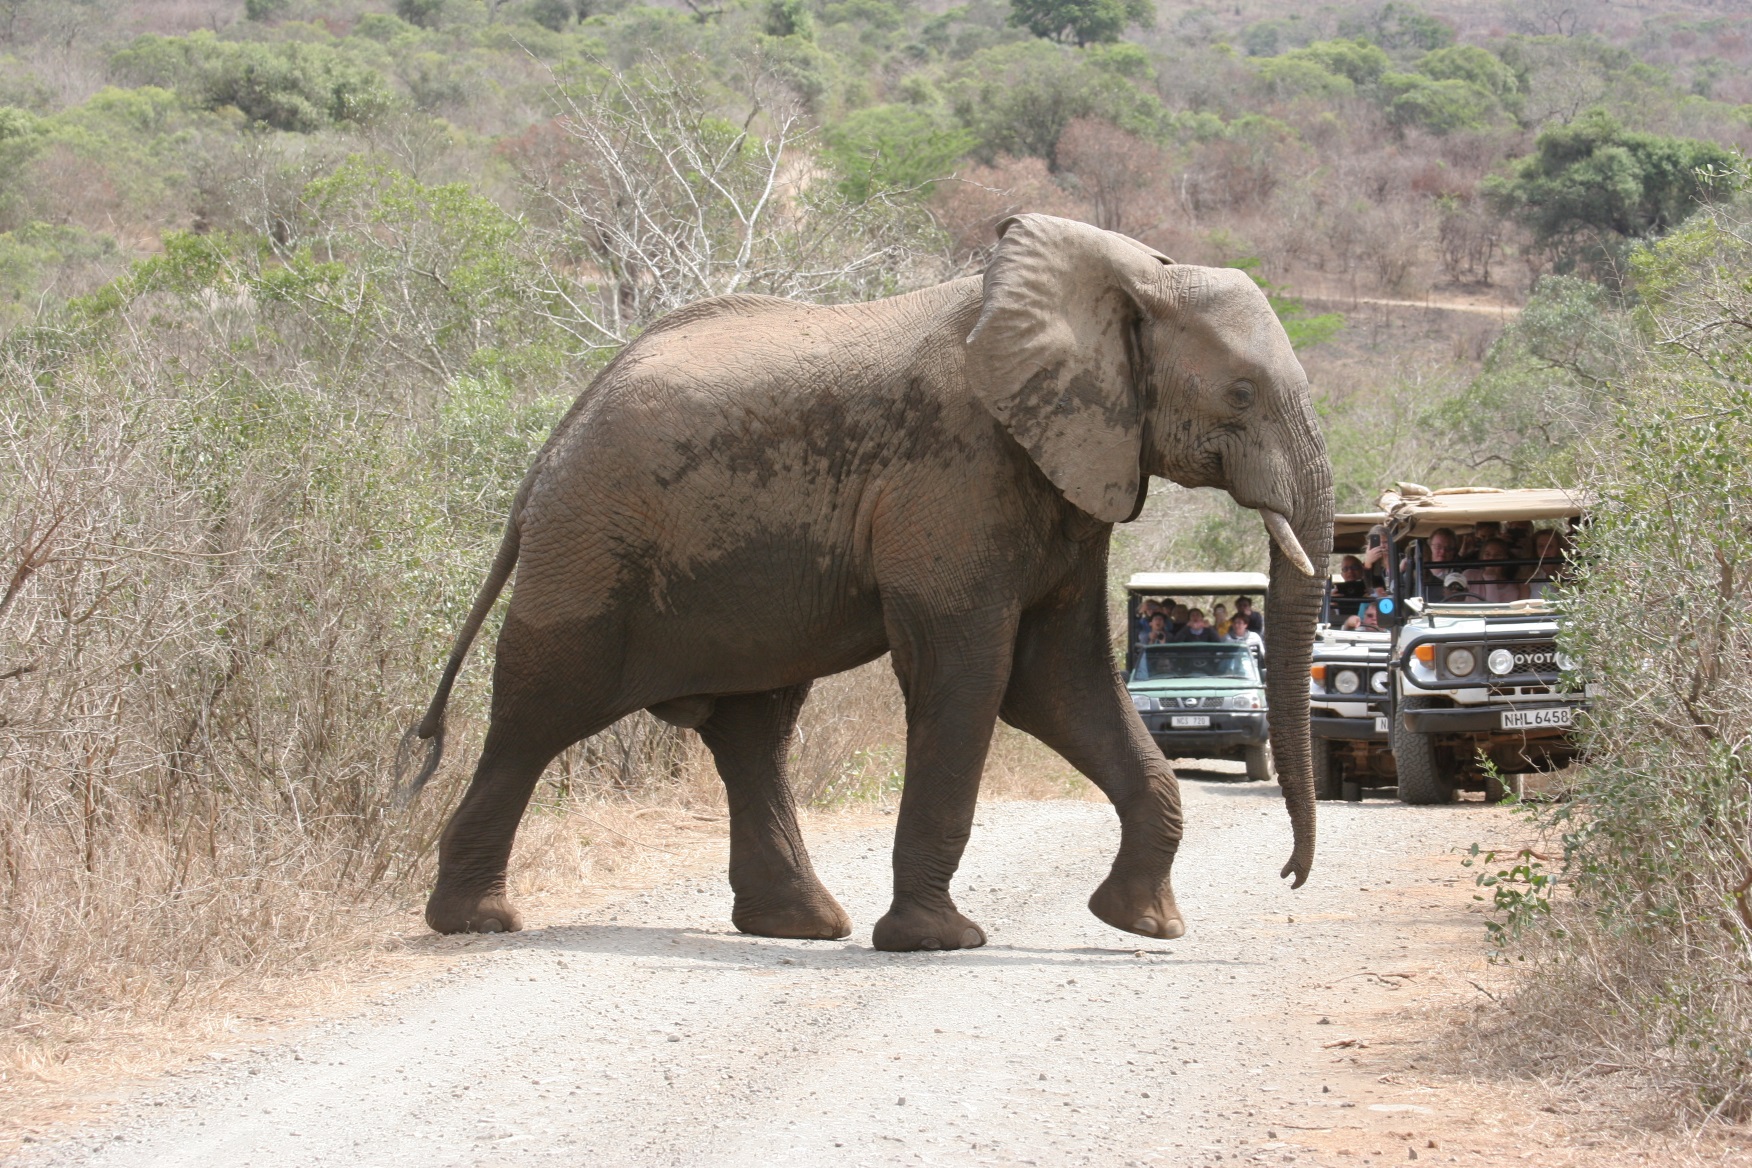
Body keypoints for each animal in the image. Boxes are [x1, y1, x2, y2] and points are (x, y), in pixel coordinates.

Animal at [403, 213, 1334, 952]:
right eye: (1240, 394)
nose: (1290, 876)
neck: (1132, 275)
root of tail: (548, 453)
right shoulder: (957, 470)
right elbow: (972, 676)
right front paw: (940, 941)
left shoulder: (1075, 470)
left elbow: (1056, 680)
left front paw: (1145, 925)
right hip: (593, 545)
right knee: (539, 713)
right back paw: (478, 921)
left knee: (752, 732)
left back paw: (803, 925)